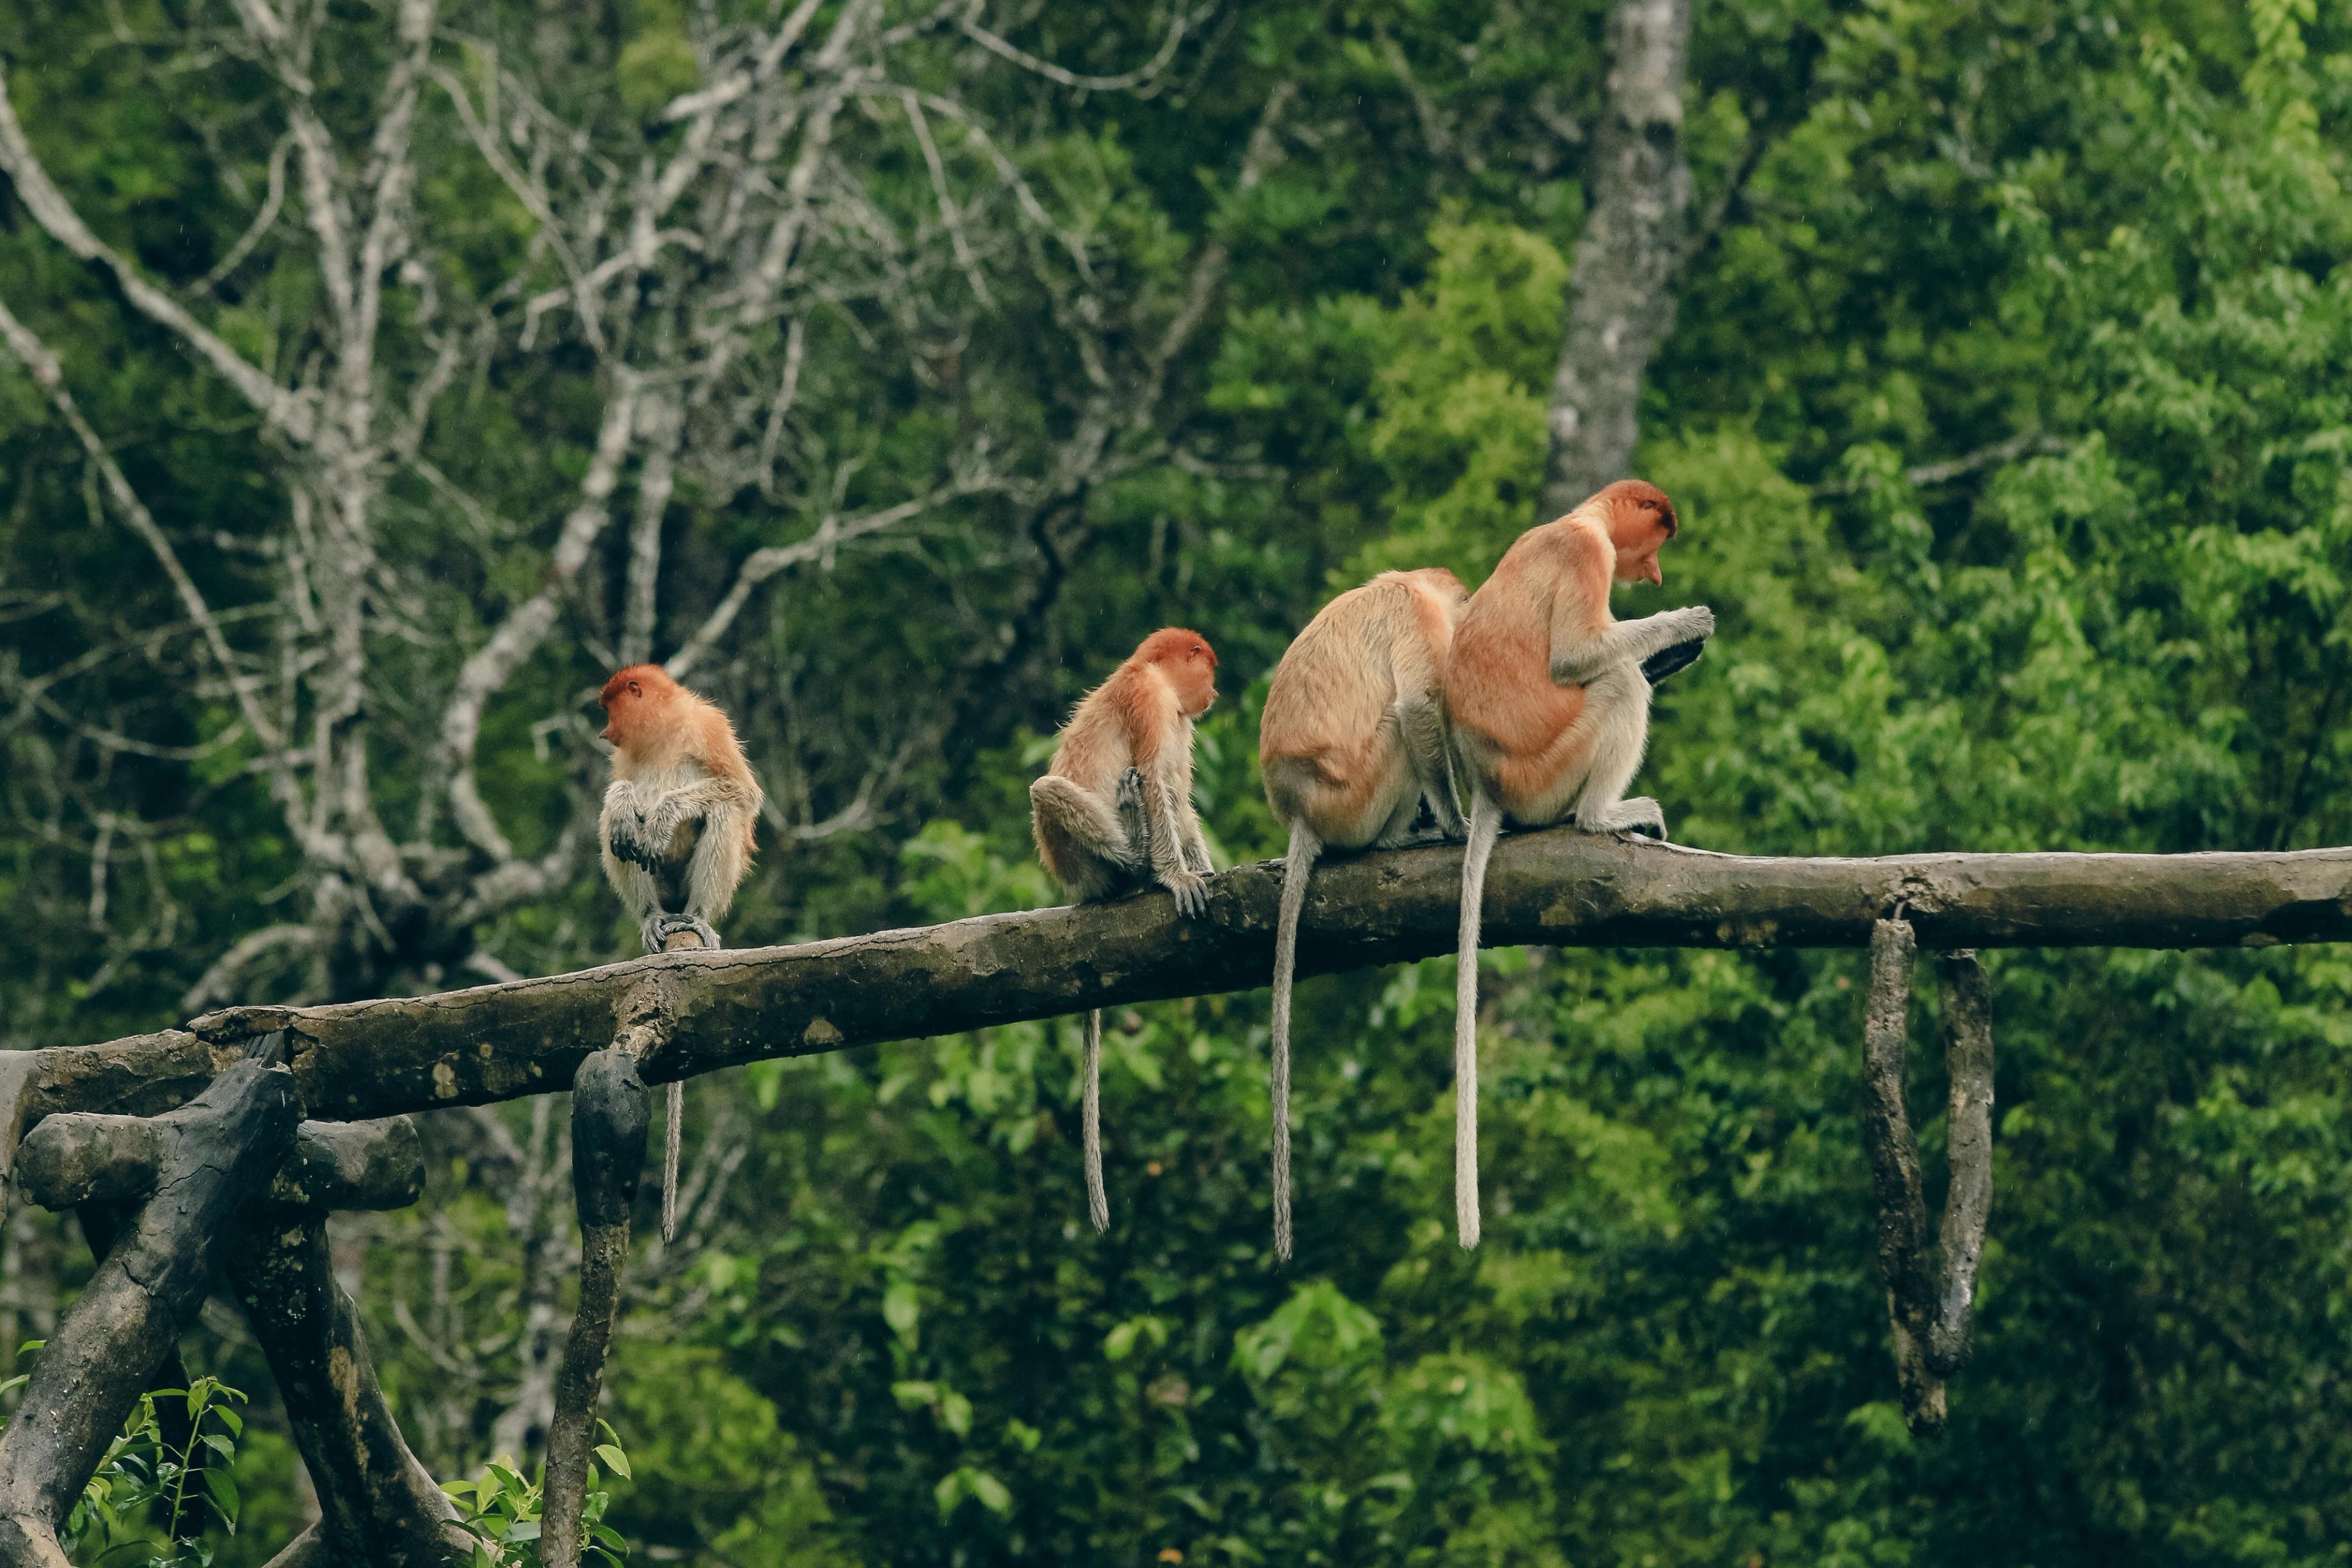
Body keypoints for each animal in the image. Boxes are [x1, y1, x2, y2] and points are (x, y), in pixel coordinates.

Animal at [597, 663, 764, 1244]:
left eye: (609, 707)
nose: (604, 732)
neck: (663, 732)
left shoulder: (709, 727)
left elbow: (738, 792)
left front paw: (665, 811)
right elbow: (620, 790)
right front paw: (626, 801)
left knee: (722, 811)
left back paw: (697, 919)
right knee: (614, 829)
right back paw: (653, 917)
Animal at [1030, 627, 1219, 1231]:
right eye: (1207, 666)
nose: (1214, 691)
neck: (1152, 673)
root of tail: (1079, 891)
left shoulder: (1177, 720)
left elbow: (1177, 795)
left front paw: (1203, 870)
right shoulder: (1150, 701)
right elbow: (1159, 779)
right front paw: (1177, 877)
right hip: (1074, 858)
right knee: (1046, 789)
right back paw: (1136, 860)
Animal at [1255, 568, 1470, 1262]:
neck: (1408, 583)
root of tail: (1301, 811)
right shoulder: (1415, 619)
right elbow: (1421, 707)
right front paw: (1455, 825)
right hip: (1361, 791)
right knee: (1399, 726)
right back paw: (1401, 837)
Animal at [1440, 480, 1713, 1248]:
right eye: (1657, 540)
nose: (1656, 576)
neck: (1579, 516)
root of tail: (1491, 786)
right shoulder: (1587, 556)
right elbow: (1574, 658)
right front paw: (1685, 623)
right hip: (1551, 769)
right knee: (1617, 682)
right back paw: (1605, 816)